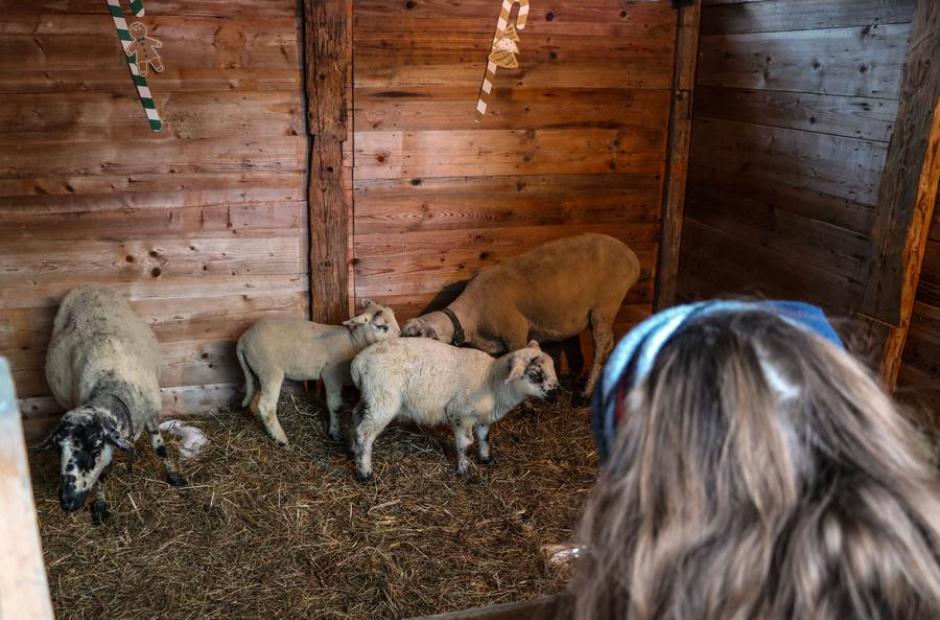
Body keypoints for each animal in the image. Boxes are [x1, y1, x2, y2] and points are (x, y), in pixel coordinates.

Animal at [42, 285, 185, 523]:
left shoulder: (151, 413)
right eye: (57, 449)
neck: (114, 389)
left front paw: (174, 475)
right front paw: (100, 505)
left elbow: (160, 448)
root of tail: (88, 286)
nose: (67, 502)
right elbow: (102, 475)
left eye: (95, 447)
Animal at [236, 300, 400, 446]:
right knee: (266, 405)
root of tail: (243, 339)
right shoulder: (331, 375)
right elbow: (335, 406)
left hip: (258, 371)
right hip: (270, 370)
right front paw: (334, 433)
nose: (400, 338)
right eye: (381, 326)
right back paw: (280, 439)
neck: (352, 342)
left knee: (255, 402)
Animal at [350, 337, 559, 481]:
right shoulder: (460, 415)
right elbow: (465, 443)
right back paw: (365, 472)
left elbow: (484, 438)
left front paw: (485, 459)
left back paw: (354, 451)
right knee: (365, 433)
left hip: (370, 397)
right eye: (535, 374)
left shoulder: (483, 418)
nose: (556, 393)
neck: (493, 381)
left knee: (356, 420)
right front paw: (464, 470)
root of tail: (358, 362)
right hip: (383, 400)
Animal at [401, 233, 640, 404]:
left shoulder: (515, 332)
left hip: (605, 305)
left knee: (604, 346)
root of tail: (632, 257)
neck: (472, 317)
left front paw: (526, 405)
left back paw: (585, 395)